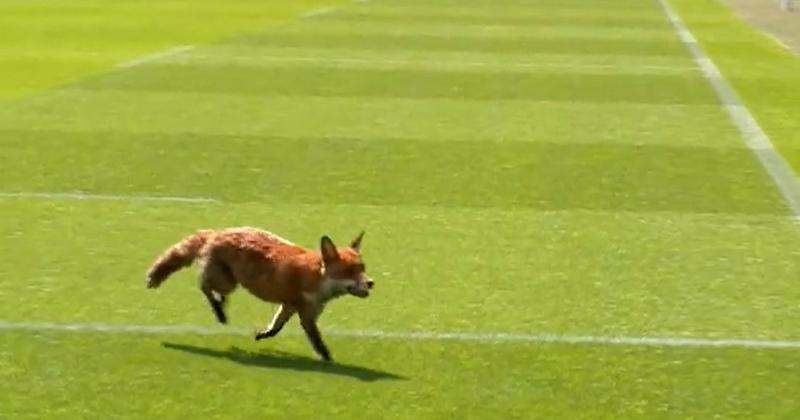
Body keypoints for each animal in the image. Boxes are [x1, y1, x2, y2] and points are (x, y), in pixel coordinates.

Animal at [145, 227, 373, 362]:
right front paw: (328, 359)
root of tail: (217, 231)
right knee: (203, 285)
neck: (315, 276)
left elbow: (276, 328)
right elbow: (317, 341)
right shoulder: (305, 314)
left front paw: (263, 335)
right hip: (227, 283)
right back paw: (219, 312)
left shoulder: (289, 306)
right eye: (348, 272)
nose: (371, 283)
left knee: (212, 289)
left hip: (230, 283)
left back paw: (221, 306)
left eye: (362, 268)